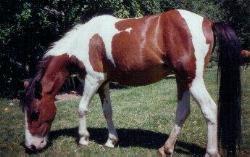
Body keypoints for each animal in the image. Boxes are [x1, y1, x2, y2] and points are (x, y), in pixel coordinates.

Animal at [21, 9, 242, 156]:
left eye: (35, 113)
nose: (31, 146)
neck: (85, 42)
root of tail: (208, 22)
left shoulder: (93, 79)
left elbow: (82, 108)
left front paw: (83, 138)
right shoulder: (104, 83)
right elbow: (107, 112)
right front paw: (111, 141)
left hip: (192, 79)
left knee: (209, 109)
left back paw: (210, 152)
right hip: (182, 79)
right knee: (183, 111)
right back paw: (166, 148)